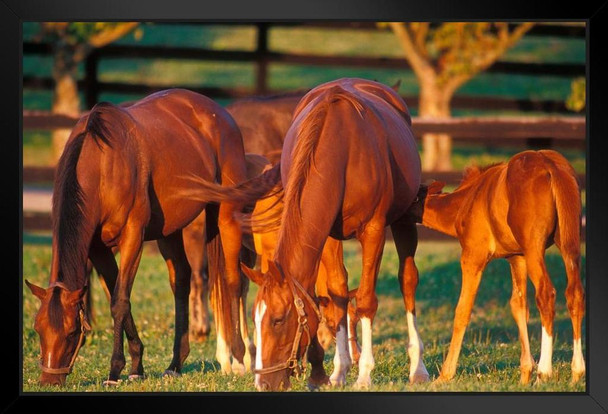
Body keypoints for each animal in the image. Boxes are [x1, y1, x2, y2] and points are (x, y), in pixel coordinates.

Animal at [25, 89, 274, 386]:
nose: (48, 381)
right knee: (182, 281)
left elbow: (120, 302)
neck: (102, 165)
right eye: (38, 329)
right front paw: (136, 366)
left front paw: (115, 370)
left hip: (226, 213)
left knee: (232, 281)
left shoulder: (133, 236)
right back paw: (176, 363)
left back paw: (238, 359)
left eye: (73, 331)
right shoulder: (98, 249)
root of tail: (220, 113)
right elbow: (118, 296)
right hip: (170, 231)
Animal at [233, 78, 428, 392]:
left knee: (407, 281)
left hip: (403, 219)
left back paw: (418, 368)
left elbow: (365, 300)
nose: (263, 384)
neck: (341, 151)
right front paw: (337, 371)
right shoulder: (327, 234)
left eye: (278, 320)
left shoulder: (373, 230)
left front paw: (364, 373)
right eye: (254, 318)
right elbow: (336, 296)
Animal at [406, 150, 588, 384]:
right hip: (569, 244)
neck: (466, 201)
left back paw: (544, 373)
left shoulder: (473, 256)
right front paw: (524, 375)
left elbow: (463, 309)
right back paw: (576, 372)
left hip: (535, 249)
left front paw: (445, 374)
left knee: (546, 295)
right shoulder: (517, 257)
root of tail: (550, 165)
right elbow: (518, 306)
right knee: (575, 294)